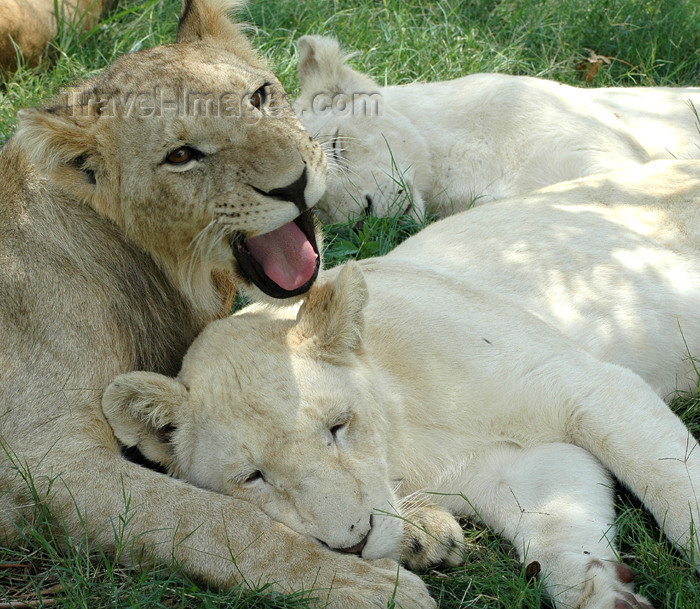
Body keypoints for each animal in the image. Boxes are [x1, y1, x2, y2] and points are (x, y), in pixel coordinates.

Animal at [102, 160, 700, 608]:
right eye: (253, 477)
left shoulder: (590, 388)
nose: (355, 542)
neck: (407, 442)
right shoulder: (520, 466)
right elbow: (560, 528)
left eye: (338, 427)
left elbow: (676, 487)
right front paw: (604, 593)